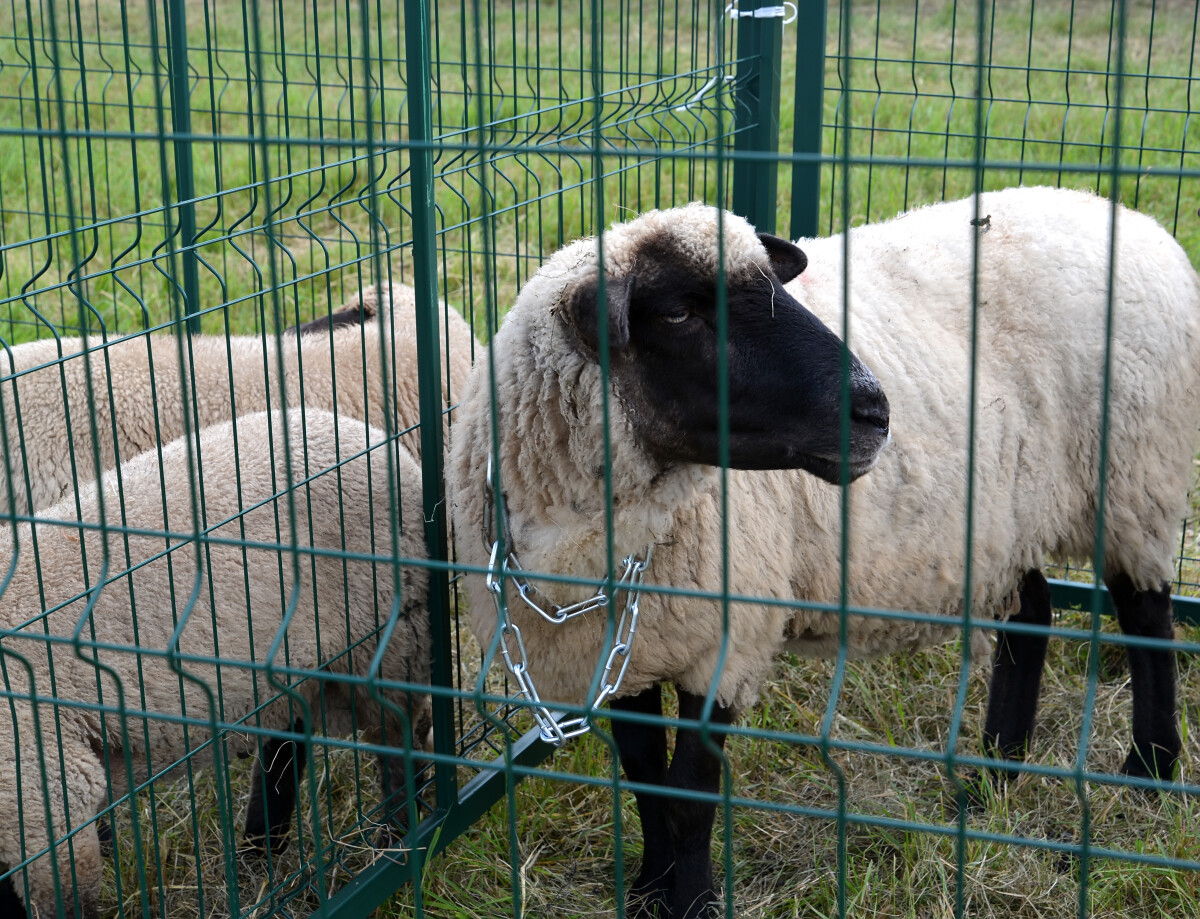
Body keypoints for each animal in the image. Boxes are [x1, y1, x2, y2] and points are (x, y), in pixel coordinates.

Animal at [0, 407, 434, 919]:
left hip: (386, 636)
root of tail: (358, 430)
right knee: (287, 747)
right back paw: (258, 853)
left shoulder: (38, 788)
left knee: (400, 736)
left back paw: (395, 838)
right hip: (295, 662)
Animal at [448, 187, 1200, 919]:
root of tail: (1138, 222)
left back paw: (1149, 769)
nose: (875, 411)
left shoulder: (726, 641)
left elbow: (690, 796)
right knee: (1033, 611)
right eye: (679, 313)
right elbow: (646, 783)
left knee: (1146, 619)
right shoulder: (630, 649)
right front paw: (648, 893)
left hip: (1133, 483)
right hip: (1005, 513)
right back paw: (996, 771)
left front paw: (692, 901)